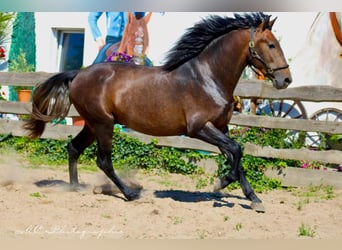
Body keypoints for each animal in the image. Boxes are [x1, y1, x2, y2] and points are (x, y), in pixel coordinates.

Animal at [23, 12, 292, 212]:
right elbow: (236, 150)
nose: (286, 79)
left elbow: (236, 155)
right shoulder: (199, 128)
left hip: (91, 124)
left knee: (73, 148)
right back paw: (130, 193)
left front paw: (253, 199)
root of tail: (78, 74)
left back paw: (76, 187)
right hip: (103, 124)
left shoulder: (221, 128)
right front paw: (221, 183)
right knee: (103, 160)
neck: (208, 77)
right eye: (271, 44)